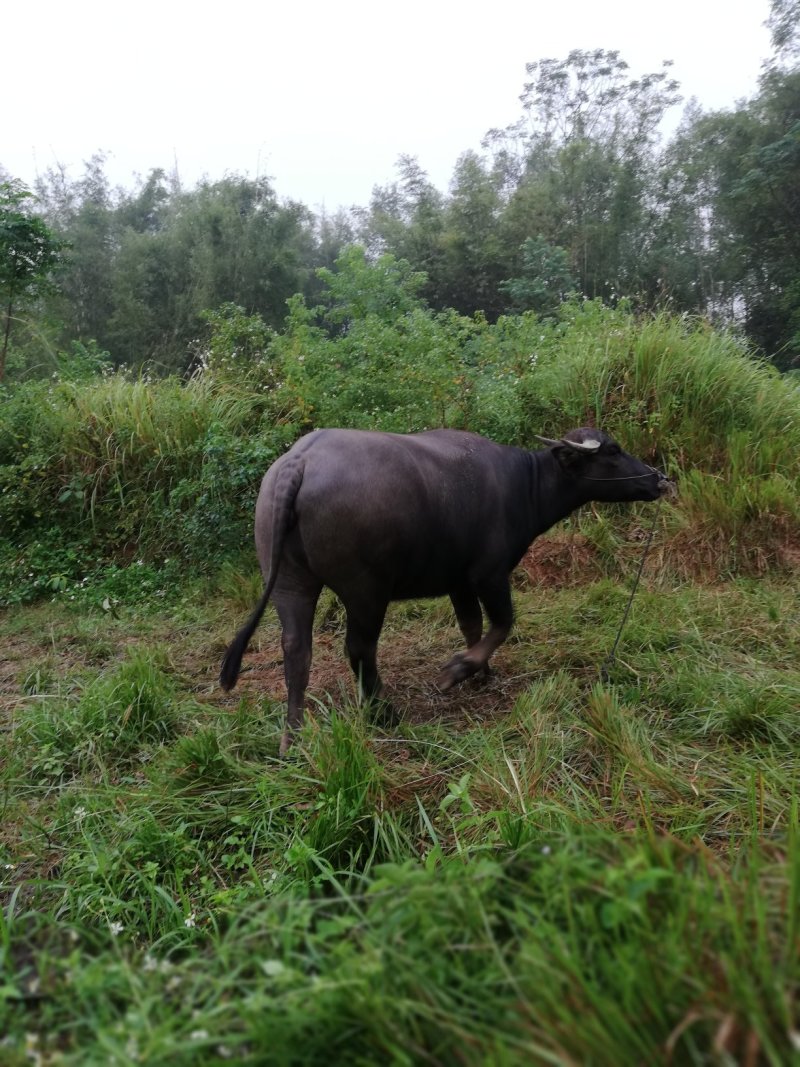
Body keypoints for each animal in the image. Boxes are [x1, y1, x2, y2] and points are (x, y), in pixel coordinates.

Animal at [220, 424, 669, 751]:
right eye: (613, 450)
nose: (659, 479)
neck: (523, 484)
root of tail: (299, 461)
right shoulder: (490, 574)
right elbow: (503, 623)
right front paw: (459, 669)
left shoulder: (459, 581)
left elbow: (472, 625)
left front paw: (482, 673)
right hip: (365, 590)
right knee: (359, 649)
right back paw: (382, 711)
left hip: (289, 582)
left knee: (297, 650)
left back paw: (292, 738)